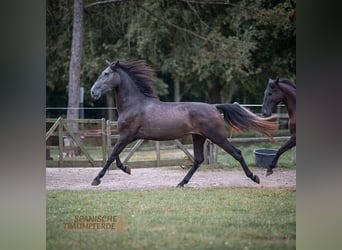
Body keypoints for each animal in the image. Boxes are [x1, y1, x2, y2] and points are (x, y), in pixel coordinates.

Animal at [90, 60, 278, 186]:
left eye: (106, 74)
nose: (93, 92)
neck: (134, 104)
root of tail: (214, 107)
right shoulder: (126, 136)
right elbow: (115, 155)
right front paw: (127, 169)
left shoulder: (126, 136)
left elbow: (111, 156)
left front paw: (96, 179)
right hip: (198, 137)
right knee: (198, 160)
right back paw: (181, 183)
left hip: (217, 137)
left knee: (237, 153)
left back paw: (254, 177)